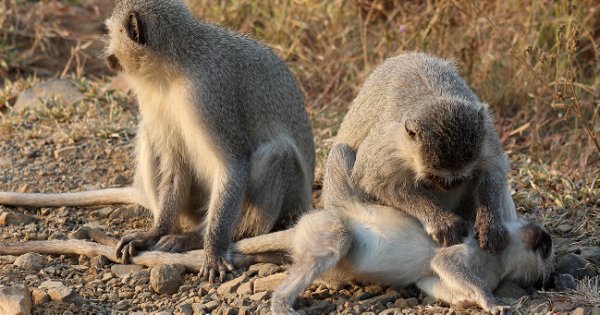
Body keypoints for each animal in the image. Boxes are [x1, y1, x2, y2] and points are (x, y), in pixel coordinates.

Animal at [0, 0, 316, 282]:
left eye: (112, 34)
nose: (107, 55)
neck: (173, 66)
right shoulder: (151, 95)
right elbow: (174, 164)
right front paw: (154, 233)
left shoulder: (208, 94)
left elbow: (233, 164)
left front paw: (212, 247)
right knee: (150, 135)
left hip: (284, 205)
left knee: (278, 153)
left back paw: (201, 237)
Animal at [233, 144, 552, 314]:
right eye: (546, 248)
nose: (544, 238)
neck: (501, 258)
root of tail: (310, 220)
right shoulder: (480, 246)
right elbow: (445, 260)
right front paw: (488, 300)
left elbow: (431, 279)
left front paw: (467, 300)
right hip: (325, 225)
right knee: (338, 240)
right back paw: (281, 301)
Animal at [326, 51, 516, 254]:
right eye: (433, 178)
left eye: (460, 178)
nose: (450, 186)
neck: (435, 95)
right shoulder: (388, 146)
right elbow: (377, 181)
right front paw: (438, 219)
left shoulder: (486, 133)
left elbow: (492, 170)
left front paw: (489, 222)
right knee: (340, 151)